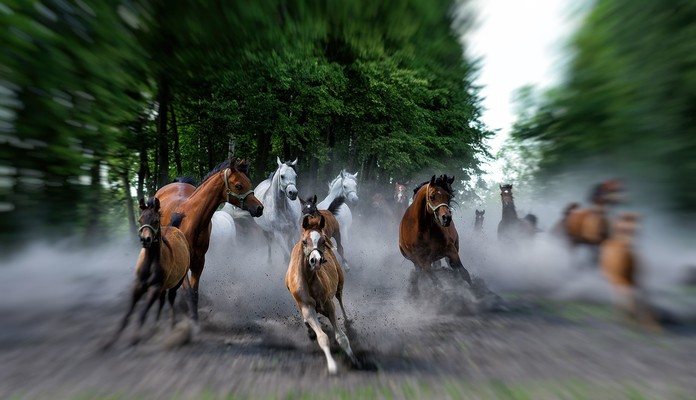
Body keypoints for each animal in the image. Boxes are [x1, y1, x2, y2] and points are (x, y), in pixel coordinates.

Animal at [102, 197, 189, 346]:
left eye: (156, 220)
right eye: (140, 220)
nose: (145, 240)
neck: (151, 262)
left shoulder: (154, 287)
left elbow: (142, 314)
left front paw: (135, 337)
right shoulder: (138, 286)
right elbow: (128, 314)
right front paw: (110, 341)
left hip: (176, 283)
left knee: (170, 299)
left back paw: (172, 326)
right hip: (163, 287)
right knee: (161, 302)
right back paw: (155, 328)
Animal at [155, 158, 264, 320]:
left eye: (248, 183)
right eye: (238, 185)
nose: (259, 208)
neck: (190, 221)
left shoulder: (199, 262)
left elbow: (194, 294)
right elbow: (188, 293)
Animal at [284, 214, 358, 374]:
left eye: (322, 241)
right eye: (305, 241)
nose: (316, 260)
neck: (308, 279)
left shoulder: (328, 304)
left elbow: (341, 336)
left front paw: (353, 359)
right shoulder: (307, 308)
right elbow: (322, 337)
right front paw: (332, 365)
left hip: (340, 281)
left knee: (340, 298)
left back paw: (347, 320)